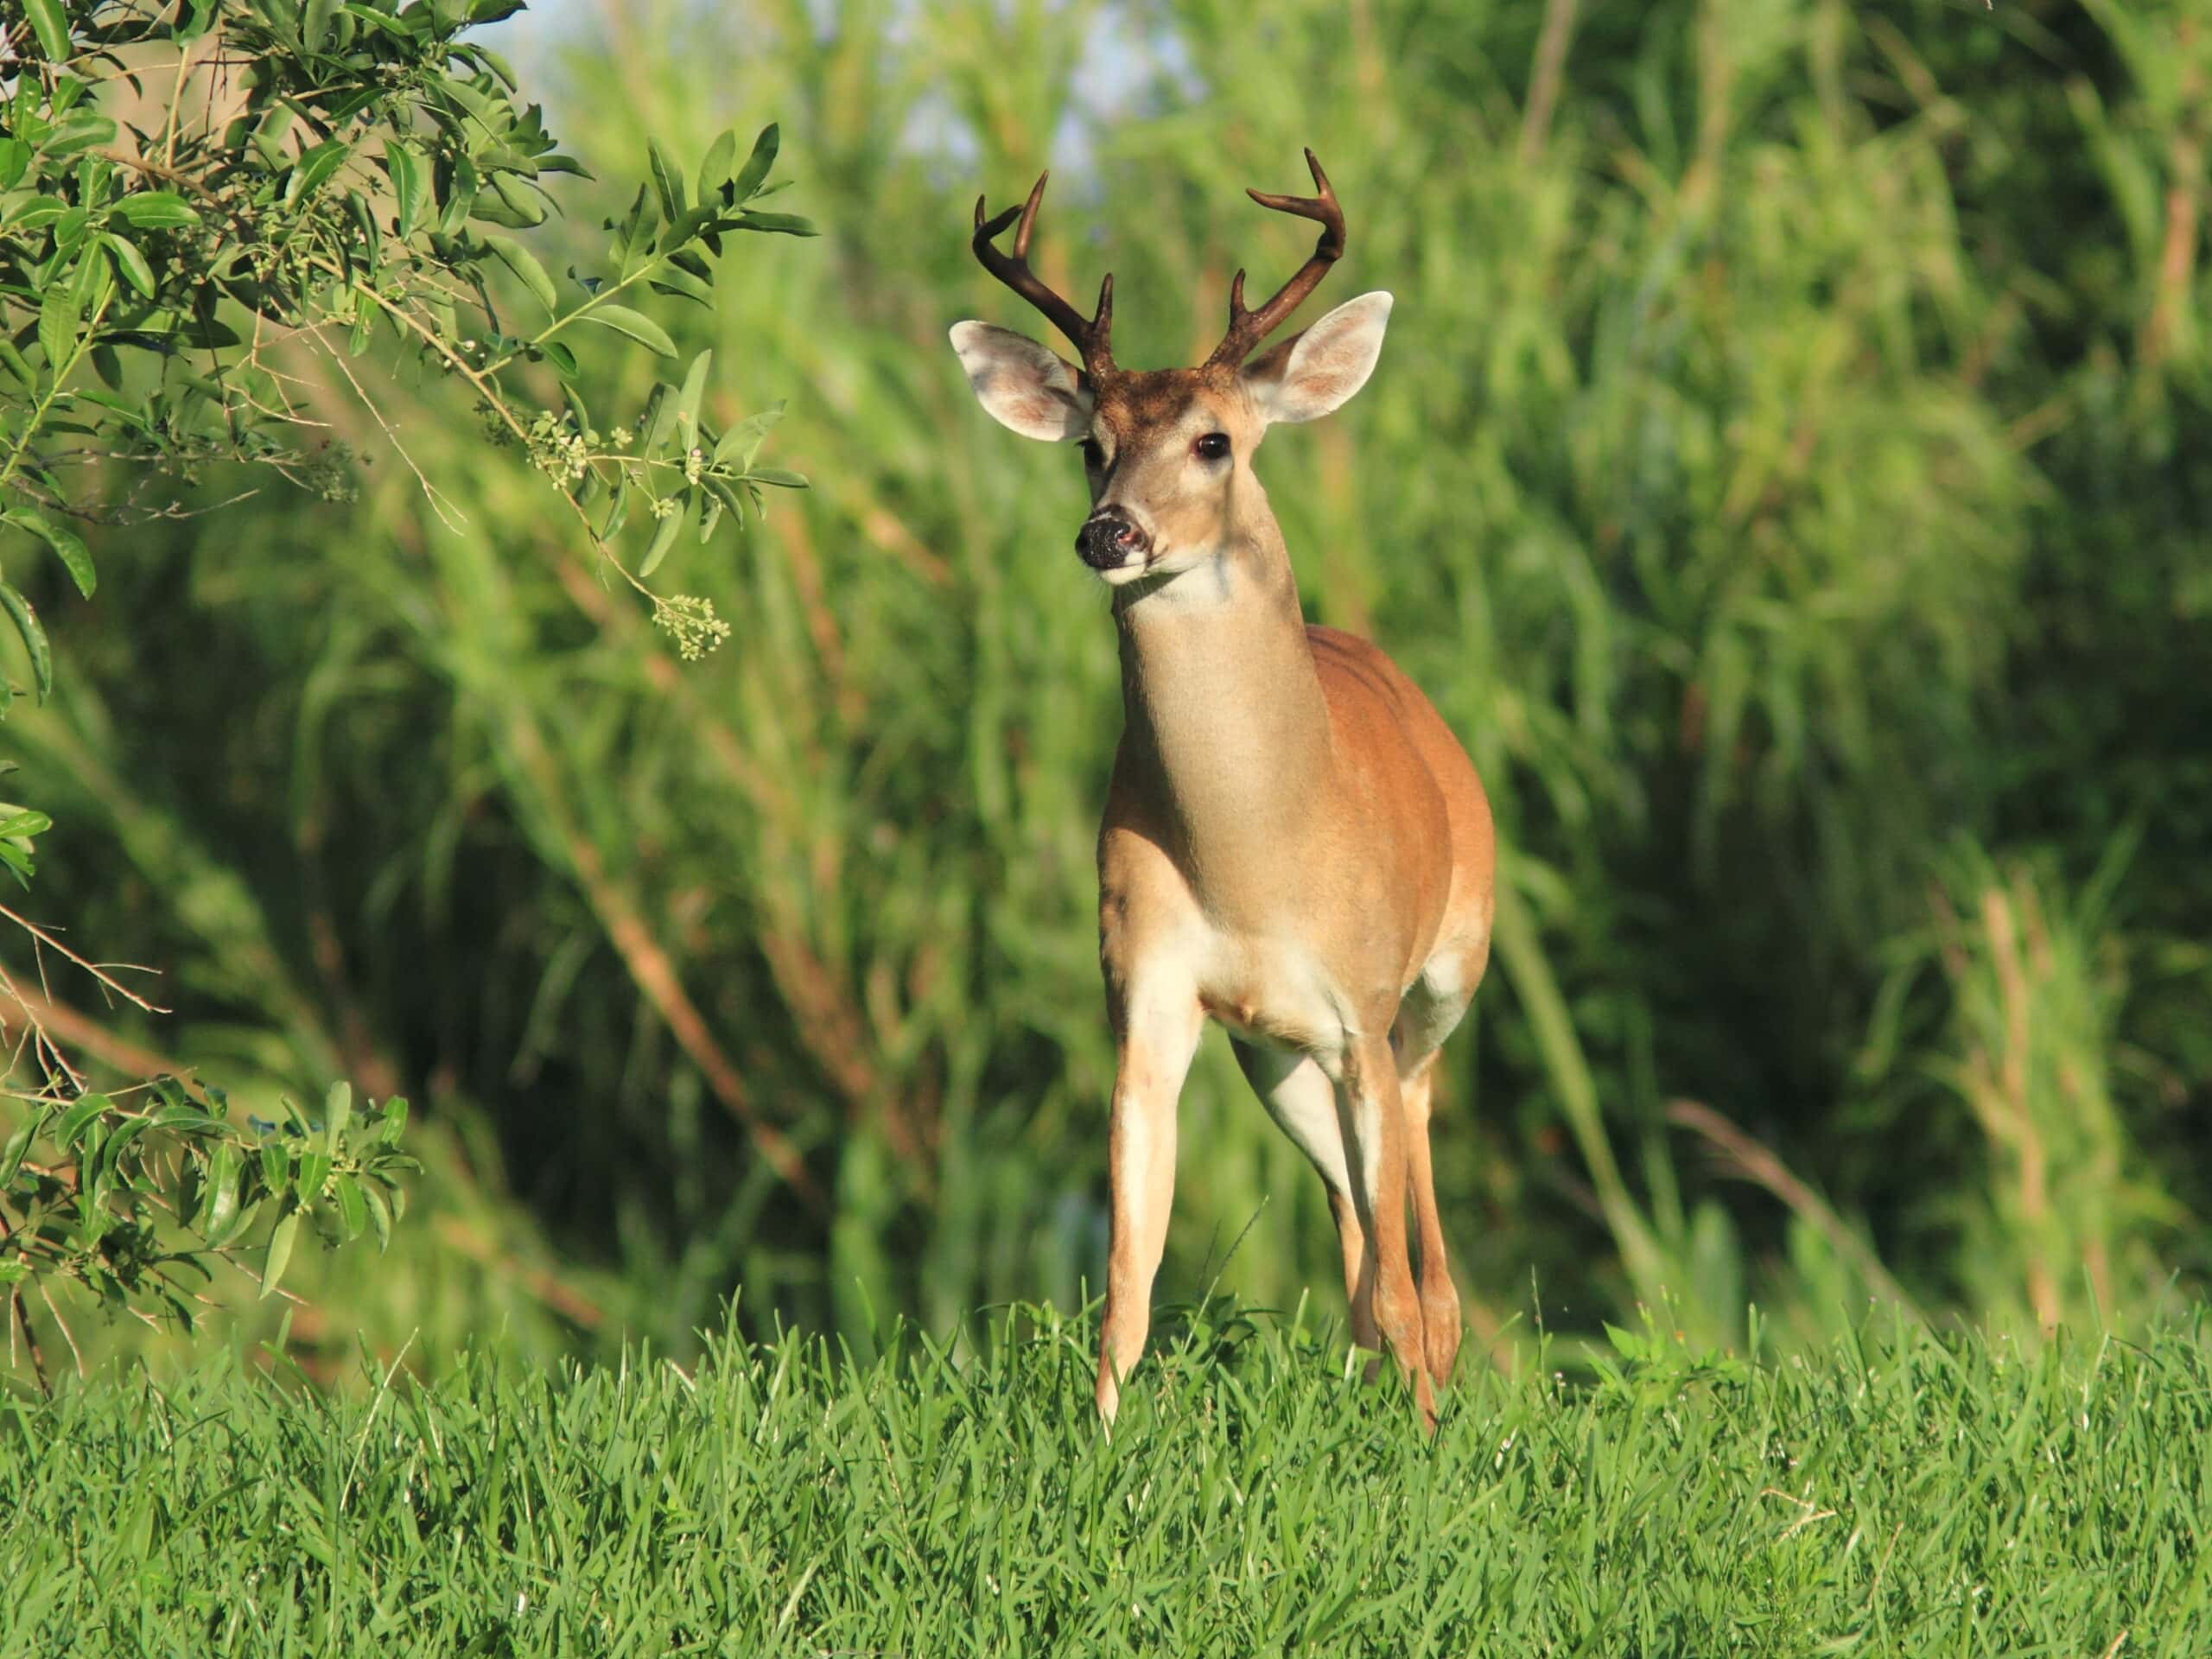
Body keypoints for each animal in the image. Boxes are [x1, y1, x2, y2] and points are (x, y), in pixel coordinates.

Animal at [949, 151, 1496, 1429]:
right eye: (1090, 444)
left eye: (1213, 442)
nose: (1109, 533)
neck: (1255, 855)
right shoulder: (1148, 996)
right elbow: (1128, 1280)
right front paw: (1100, 1443)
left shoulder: (1362, 1004)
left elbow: (1400, 1277)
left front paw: (1428, 1438)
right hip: (1279, 1058)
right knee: (1355, 1230)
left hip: (1440, 978)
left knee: (1421, 1178)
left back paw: (1440, 1374)